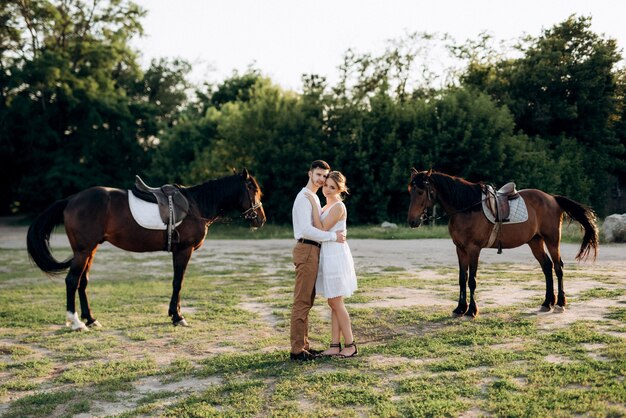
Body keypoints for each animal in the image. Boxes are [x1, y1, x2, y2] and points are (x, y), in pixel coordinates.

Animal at [26, 170, 264, 330]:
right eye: (253, 189)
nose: (261, 219)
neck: (195, 206)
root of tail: (70, 200)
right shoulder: (183, 251)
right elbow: (178, 282)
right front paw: (177, 317)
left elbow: (178, 283)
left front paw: (174, 314)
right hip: (83, 251)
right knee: (71, 281)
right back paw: (76, 322)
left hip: (89, 251)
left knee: (82, 282)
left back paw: (91, 319)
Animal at [408, 168, 596, 318]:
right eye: (410, 191)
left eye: (420, 192)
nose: (412, 221)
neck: (468, 208)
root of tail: (552, 198)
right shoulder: (460, 249)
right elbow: (462, 278)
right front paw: (460, 309)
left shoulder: (473, 249)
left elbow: (472, 280)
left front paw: (471, 311)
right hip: (535, 241)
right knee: (547, 267)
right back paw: (546, 303)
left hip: (552, 240)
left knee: (558, 267)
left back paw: (560, 304)